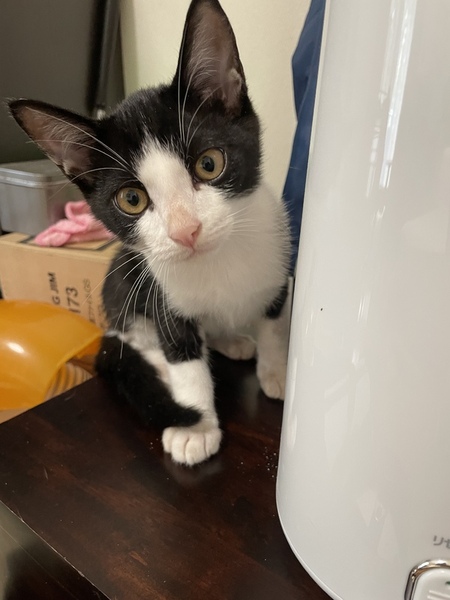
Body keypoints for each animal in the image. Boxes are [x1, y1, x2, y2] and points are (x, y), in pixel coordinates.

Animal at [8, 0, 291, 466]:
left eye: (209, 164)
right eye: (131, 199)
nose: (186, 231)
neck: (218, 263)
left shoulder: (281, 263)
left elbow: (273, 324)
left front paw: (279, 370)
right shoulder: (163, 298)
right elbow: (186, 363)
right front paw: (195, 426)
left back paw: (232, 340)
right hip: (123, 279)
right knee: (134, 340)